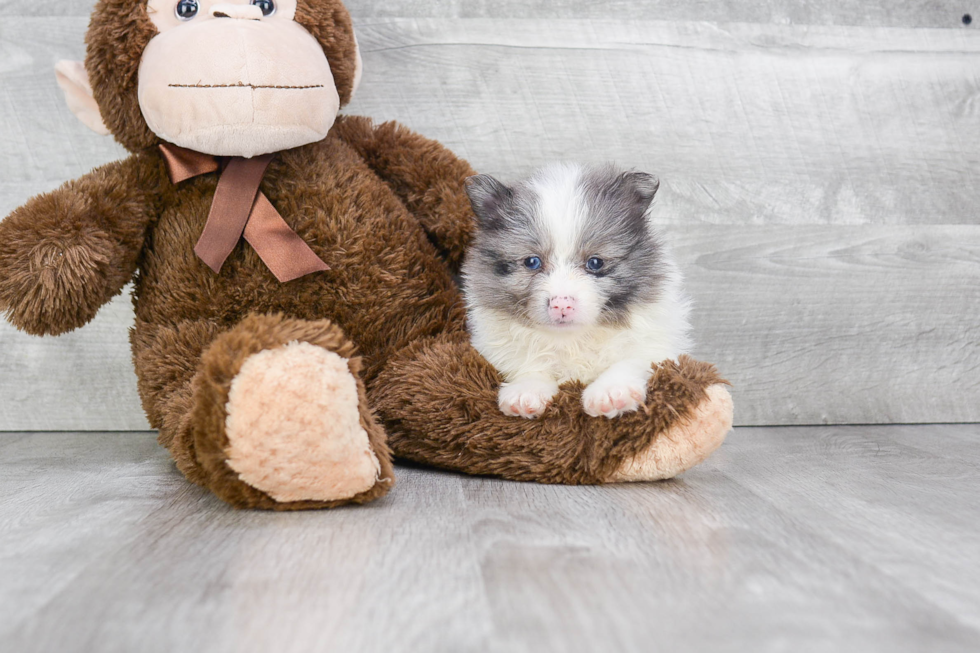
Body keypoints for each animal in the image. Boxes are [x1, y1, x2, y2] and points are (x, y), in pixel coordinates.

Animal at [464, 163, 692, 418]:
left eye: (595, 263)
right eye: (532, 262)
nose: (561, 304)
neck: (572, 338)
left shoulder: (656, 346)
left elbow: (630, 361)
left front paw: (611, 392)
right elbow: (531, 366)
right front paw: (525, 392)